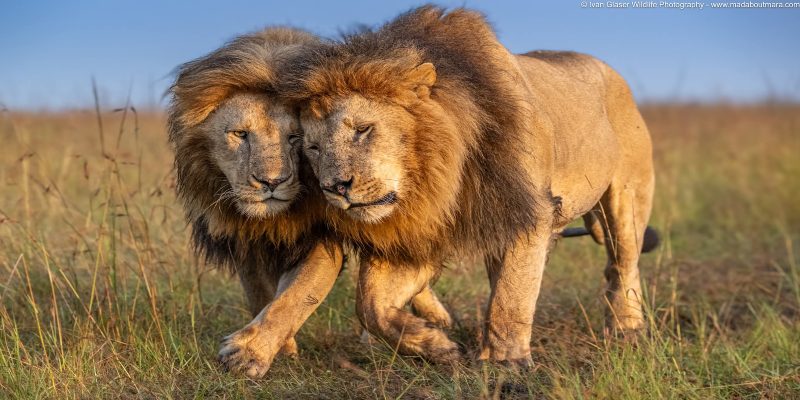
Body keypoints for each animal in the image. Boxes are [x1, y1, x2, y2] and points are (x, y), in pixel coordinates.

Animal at [167, 27, 452, 378]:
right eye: (240, 134)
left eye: (294, 139)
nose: (272, 182)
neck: (273, 219)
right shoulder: (244, 243)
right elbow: (261, 295)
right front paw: (280, 346)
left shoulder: (320, 238)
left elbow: (294, 296)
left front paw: (249, 354)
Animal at [281, 6, 659, 366]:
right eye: (313, 148)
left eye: (363, 129)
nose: (336, 187)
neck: (441, 176)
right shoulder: (427, 233)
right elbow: (370, 306)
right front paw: (435, 345)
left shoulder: (529, 212)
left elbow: (511, 297)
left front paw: (506, 363)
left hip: (627, 196)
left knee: (621, 264)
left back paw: (627, 331)